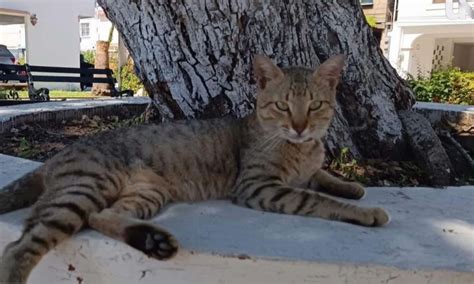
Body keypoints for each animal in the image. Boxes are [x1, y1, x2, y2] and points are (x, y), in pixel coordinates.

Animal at [0, 53, 388, 284]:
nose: (299, 127)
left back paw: (153, 240)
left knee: (102, 216)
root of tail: (58, 155)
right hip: (86, 188)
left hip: (146, 193)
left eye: (315, 106)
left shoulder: (305, 169)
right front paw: (363, 211)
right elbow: (317, 199)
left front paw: (352, 186)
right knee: (20, 246)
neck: (299, 148)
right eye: (282, 106)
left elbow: (322, 176)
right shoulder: (258, 187)